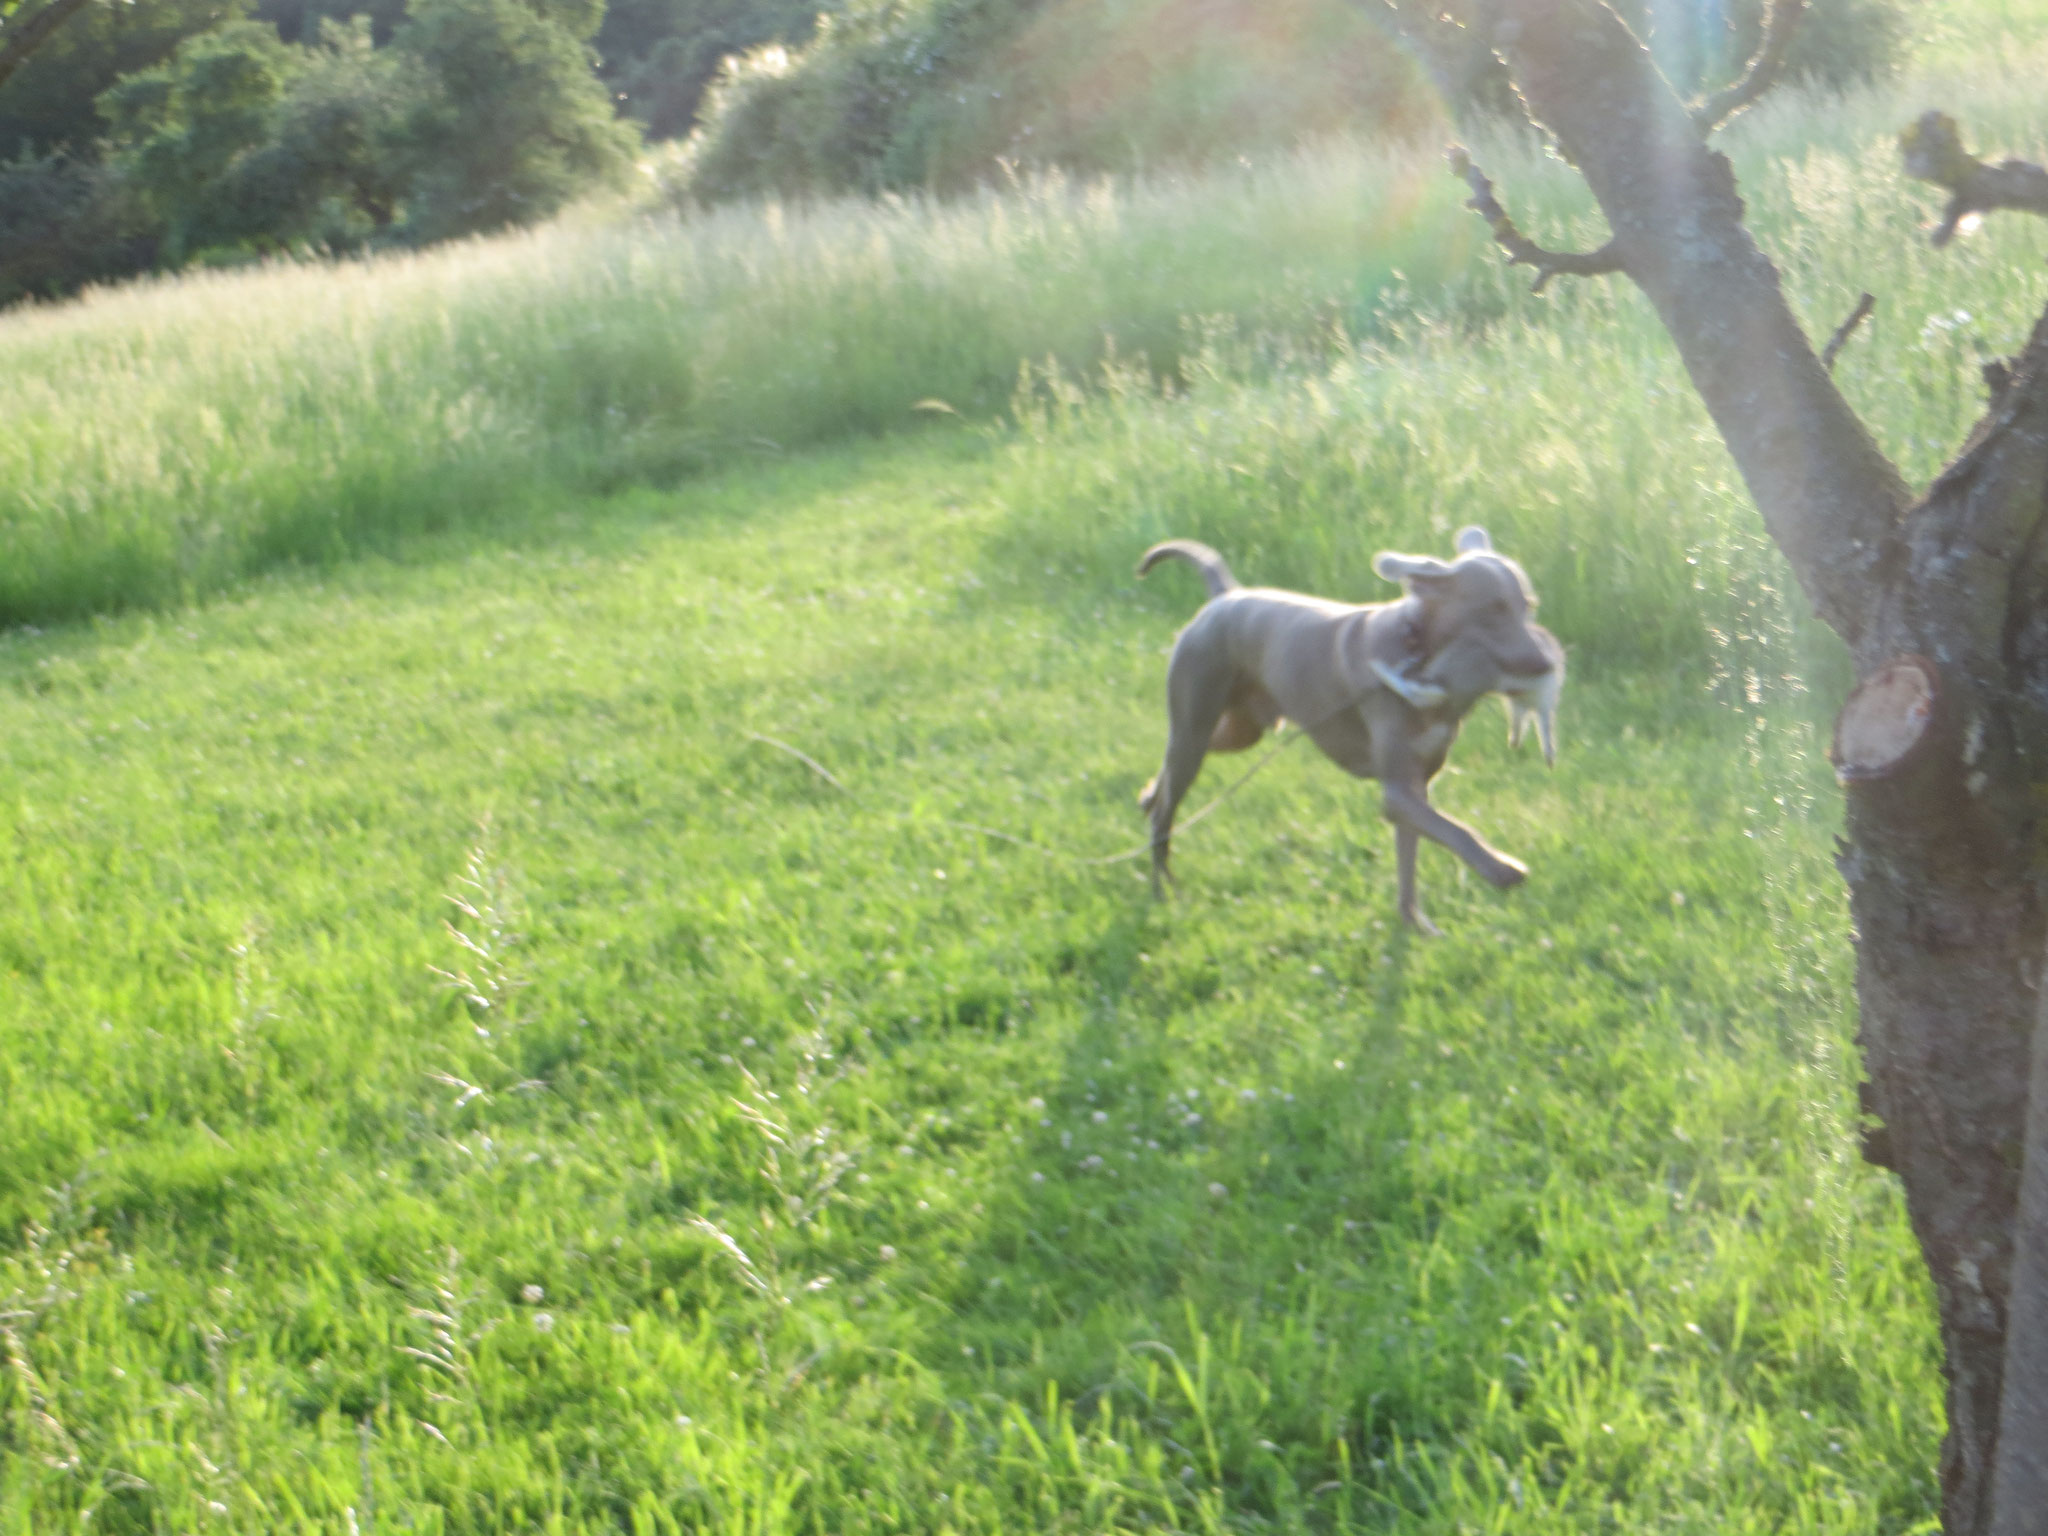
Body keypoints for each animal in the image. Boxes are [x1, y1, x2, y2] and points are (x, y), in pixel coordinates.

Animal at [1138, 528, 1564, 937]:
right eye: (1493, 609)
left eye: (1528, 605)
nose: (1545, 664)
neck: (1419, 653)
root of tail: (1227, 596)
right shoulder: (1398, 792)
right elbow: (1457, 830)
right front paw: (1501, 869)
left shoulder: (1417, 784)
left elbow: (1411, 859)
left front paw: (1414, 924)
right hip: (1195, 720)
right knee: (1166, 808)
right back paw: (1161, 885)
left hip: (1240, 730)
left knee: (1171, 767)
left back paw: (1148, 795)